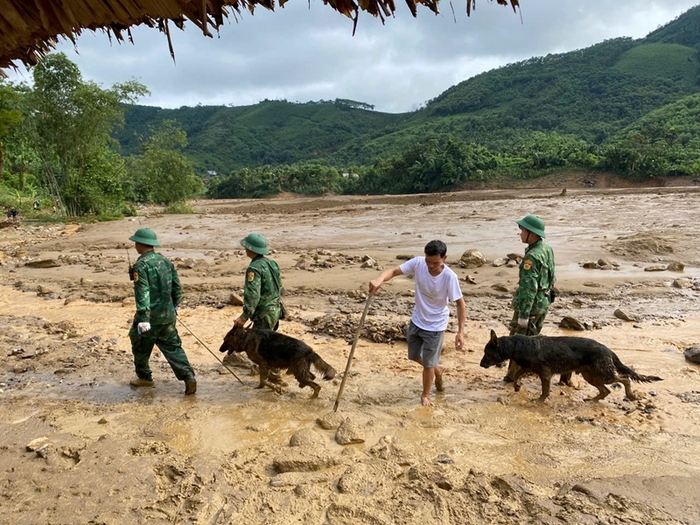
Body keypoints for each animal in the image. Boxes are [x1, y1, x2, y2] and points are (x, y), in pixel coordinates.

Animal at [482, 332, 660, 402]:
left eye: (487, 353)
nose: (480, 364)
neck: (516, 345)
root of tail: (608, 349)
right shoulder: (529, 368)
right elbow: (517, 374)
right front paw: (517, 386)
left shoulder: (545, 373)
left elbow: (544, 390)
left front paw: (539, 400)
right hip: (591, 376)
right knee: (605, 391)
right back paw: (592, 400)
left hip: (603, 373)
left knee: (625, 378)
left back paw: (630, 395)